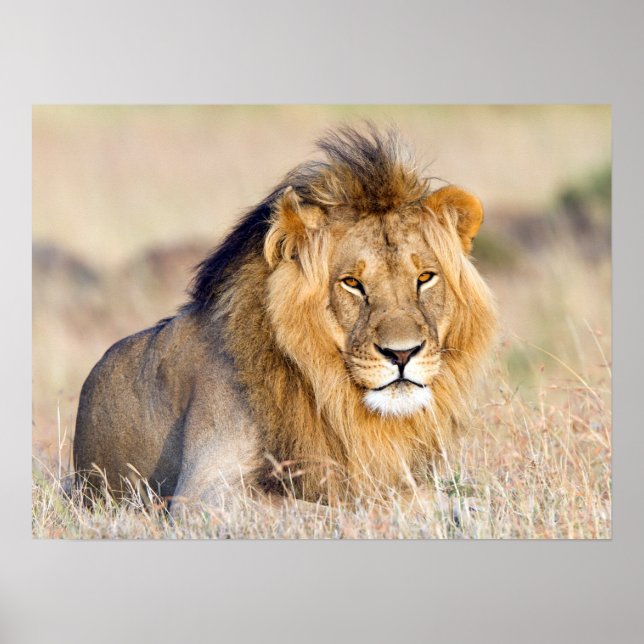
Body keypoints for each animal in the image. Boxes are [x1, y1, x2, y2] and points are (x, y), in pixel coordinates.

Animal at [73, 125, 497, 509]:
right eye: (352, 283)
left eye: (425, 278)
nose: (402, 354)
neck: (329, 393)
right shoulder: (204, 494)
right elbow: (354, 501)